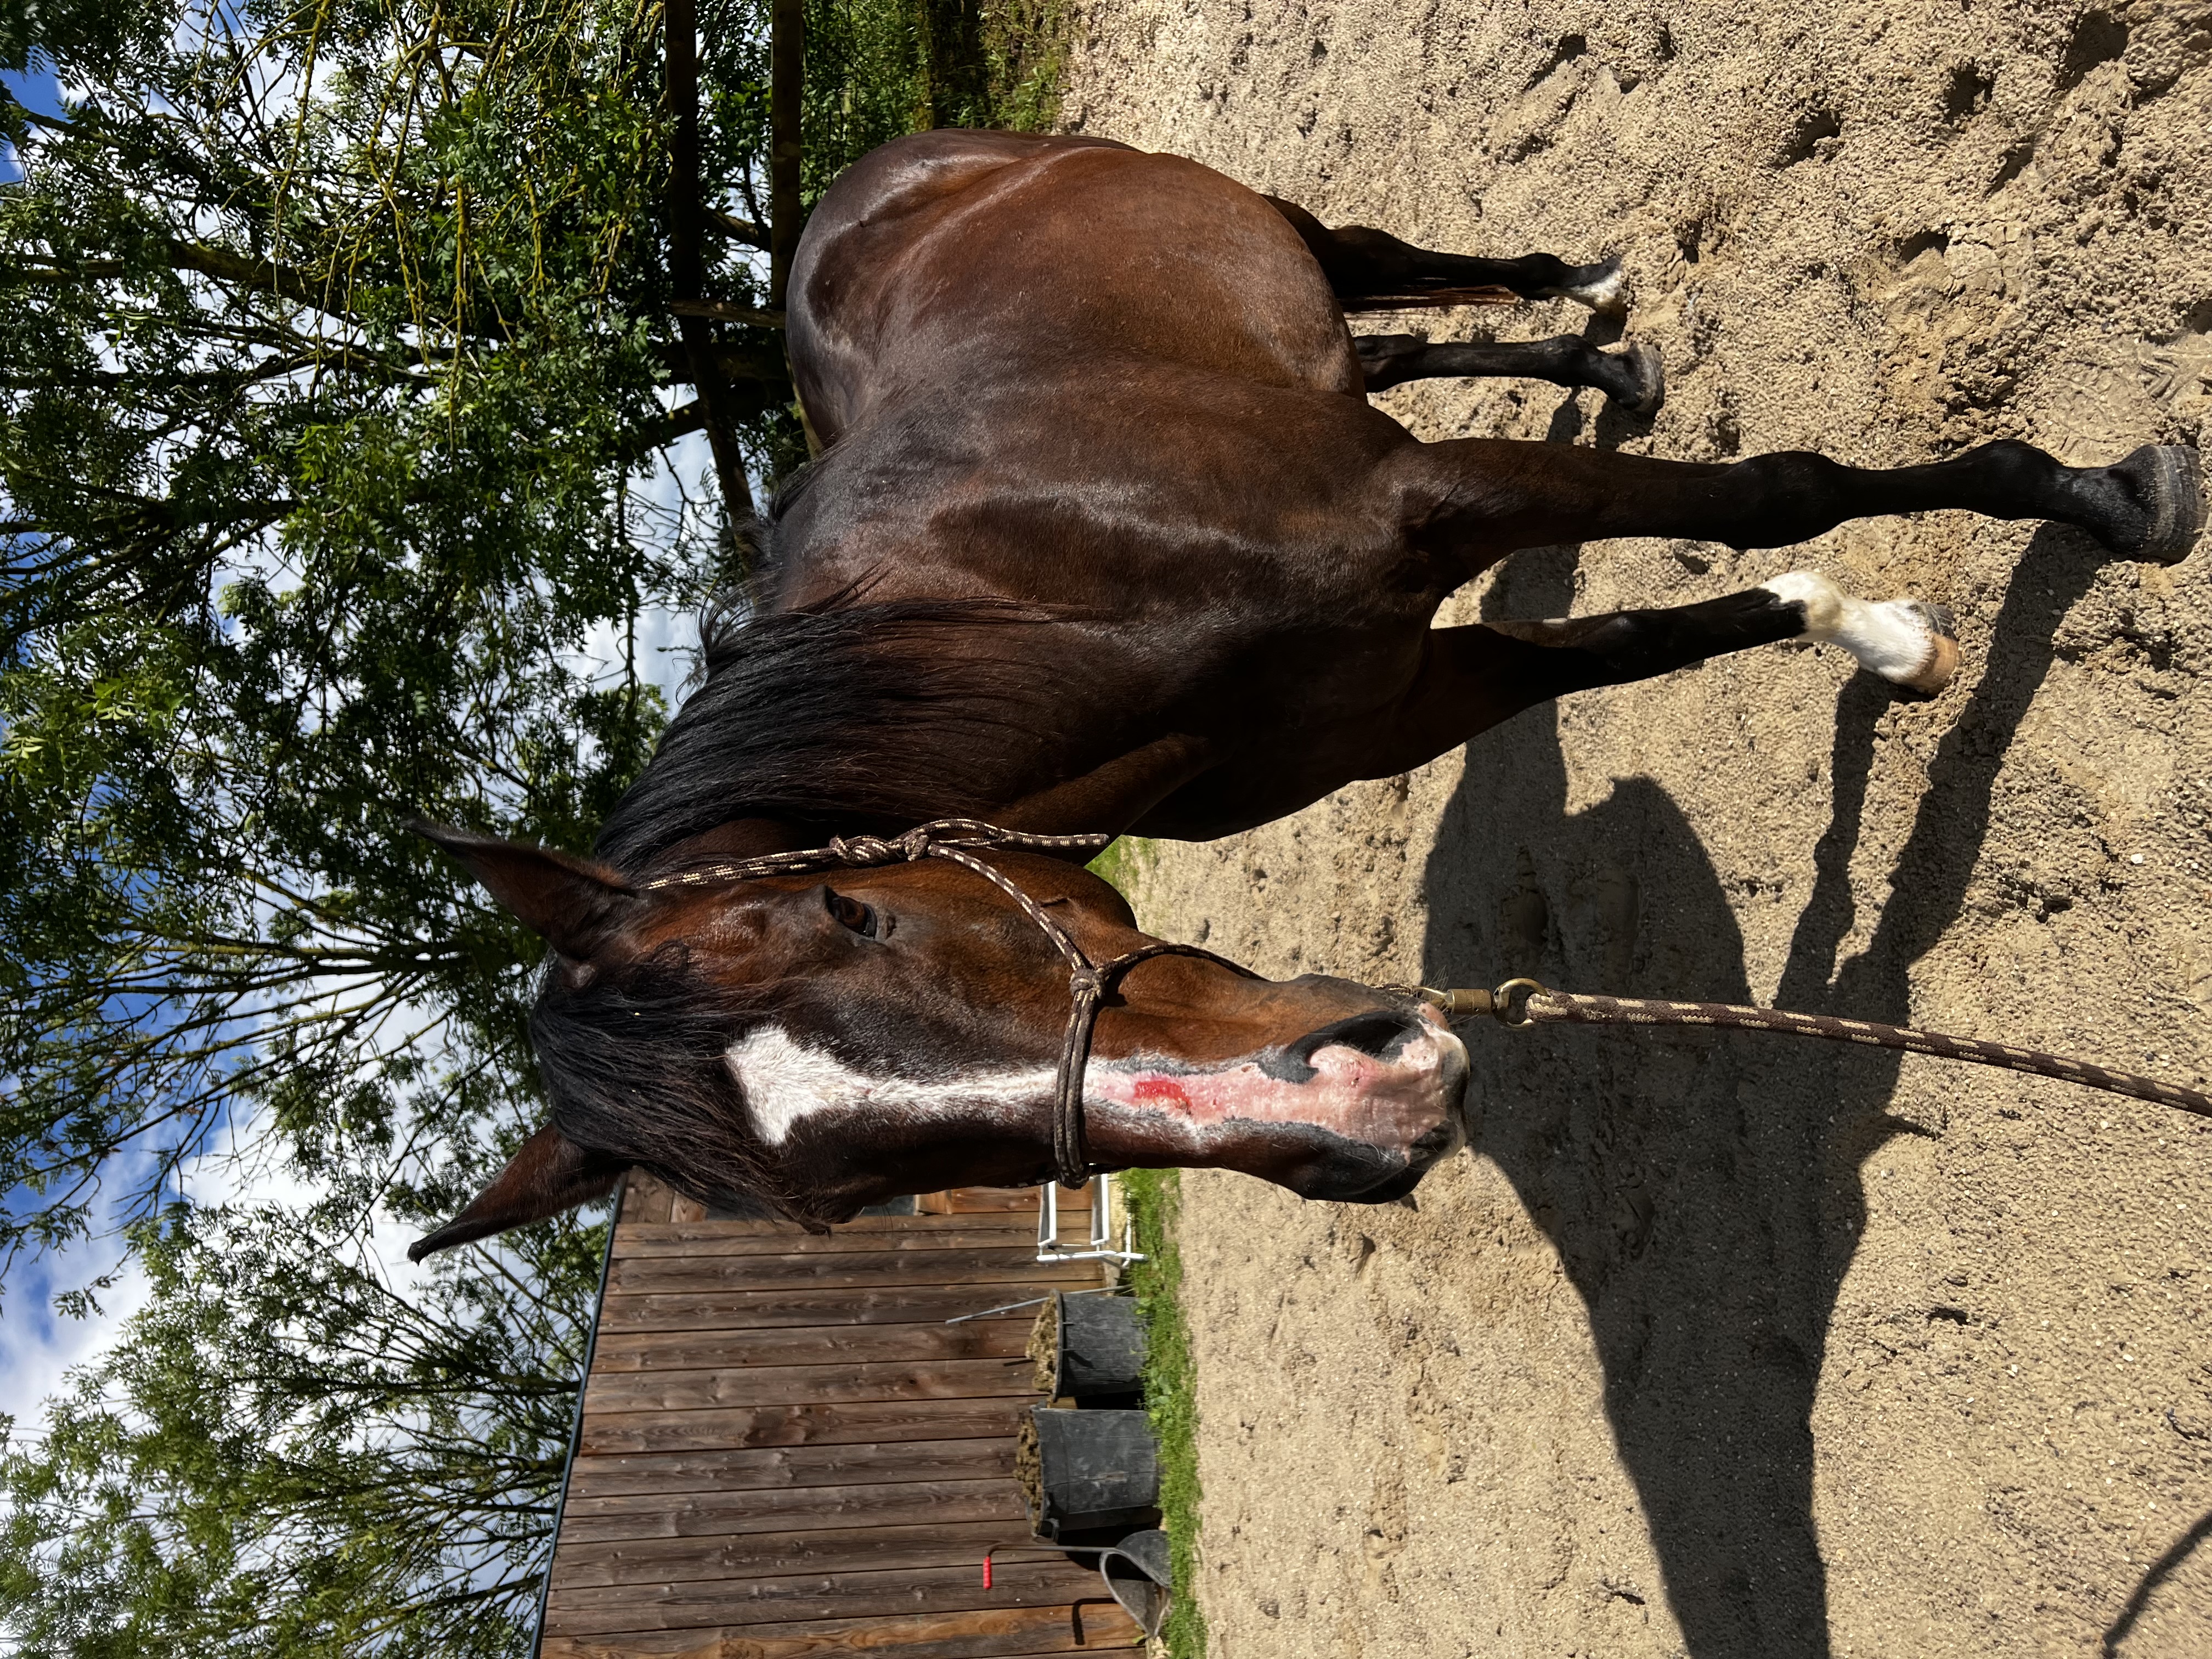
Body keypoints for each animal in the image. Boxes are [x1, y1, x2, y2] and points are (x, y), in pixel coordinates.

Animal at [407, 129, 2203, 1258]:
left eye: (853, 915)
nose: (1359, 1110)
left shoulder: (1434, 509)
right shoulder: (1411, 688)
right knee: (1386, 337)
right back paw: (1601, 364)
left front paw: (2102, 499)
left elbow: (1777, 491)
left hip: (1266, 213)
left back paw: (1598, 305)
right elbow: (1665, 627)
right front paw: (1880, 636)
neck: (1058, 597)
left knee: (1398, 265)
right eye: (833, 1206)